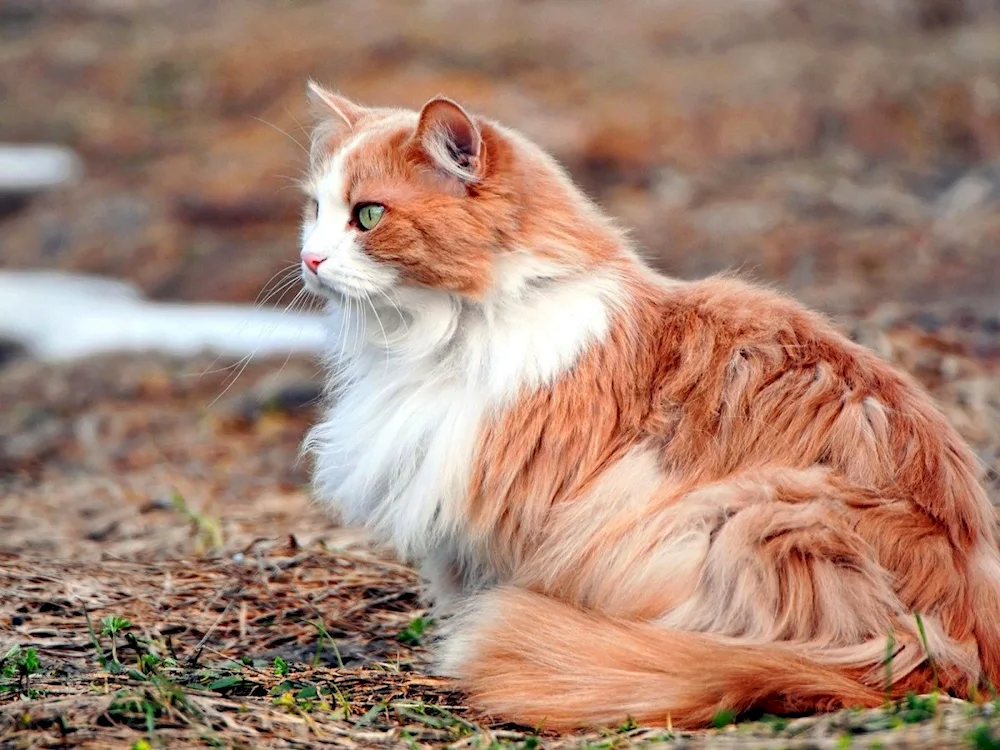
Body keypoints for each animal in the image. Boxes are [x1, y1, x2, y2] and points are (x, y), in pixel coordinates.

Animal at [296, 83, 1000, 736]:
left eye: (368, 216)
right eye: (316, 210)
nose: (309, 258)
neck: (444, 334)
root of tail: (949, 648)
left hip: (755, 515)